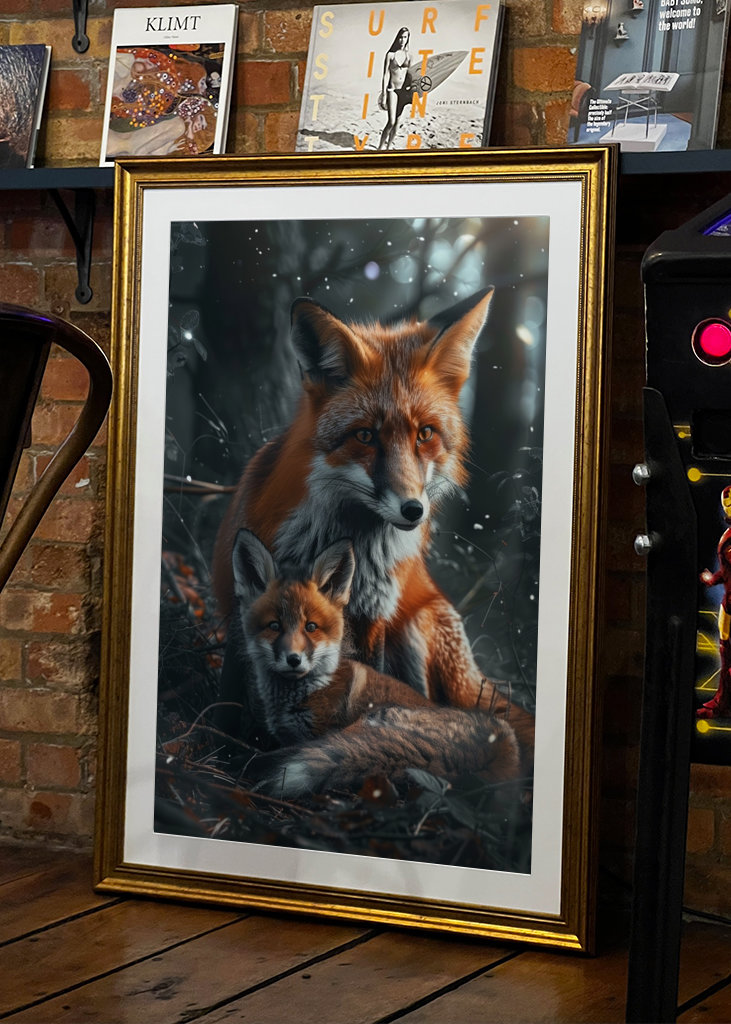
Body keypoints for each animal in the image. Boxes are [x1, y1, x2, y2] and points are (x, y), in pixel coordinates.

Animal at [213, 288, 535, 756]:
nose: (413, 510)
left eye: (425, 434)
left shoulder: (374, 617)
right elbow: (230, 698)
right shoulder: (245, 608)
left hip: (418, 626)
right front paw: (224, 748)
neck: (349, 541)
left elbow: (370, 685)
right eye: (365, 435)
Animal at [232, 528, 521, 797]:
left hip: (367, 723)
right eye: (274, 626)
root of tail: (499, 744)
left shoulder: (320, 731)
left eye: (311, 627)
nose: (294, 660)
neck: (309, 689)